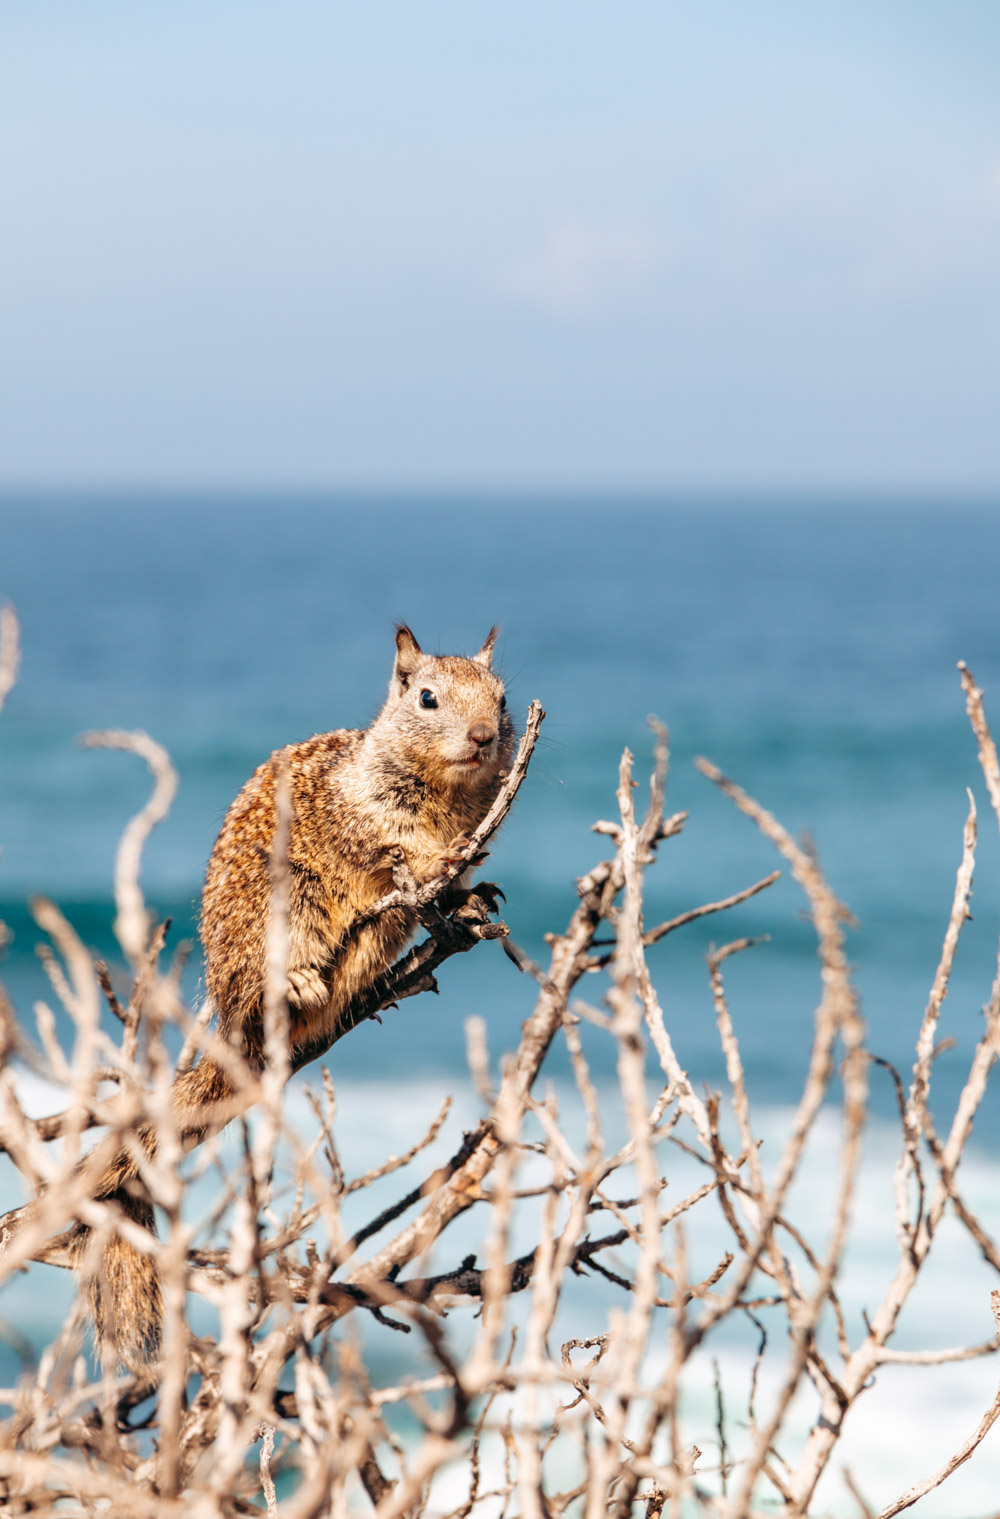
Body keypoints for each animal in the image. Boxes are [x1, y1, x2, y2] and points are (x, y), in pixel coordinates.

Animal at [68, 622, 513, 1373]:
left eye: (503, 698)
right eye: (426, 697)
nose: (484, 734)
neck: (448, 795)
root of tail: (229, 1024)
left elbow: (452, 887)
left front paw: (471, 899)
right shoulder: (366, 819)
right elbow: (401, 853)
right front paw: (434, 870)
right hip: (289, 902)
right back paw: (298, 982)